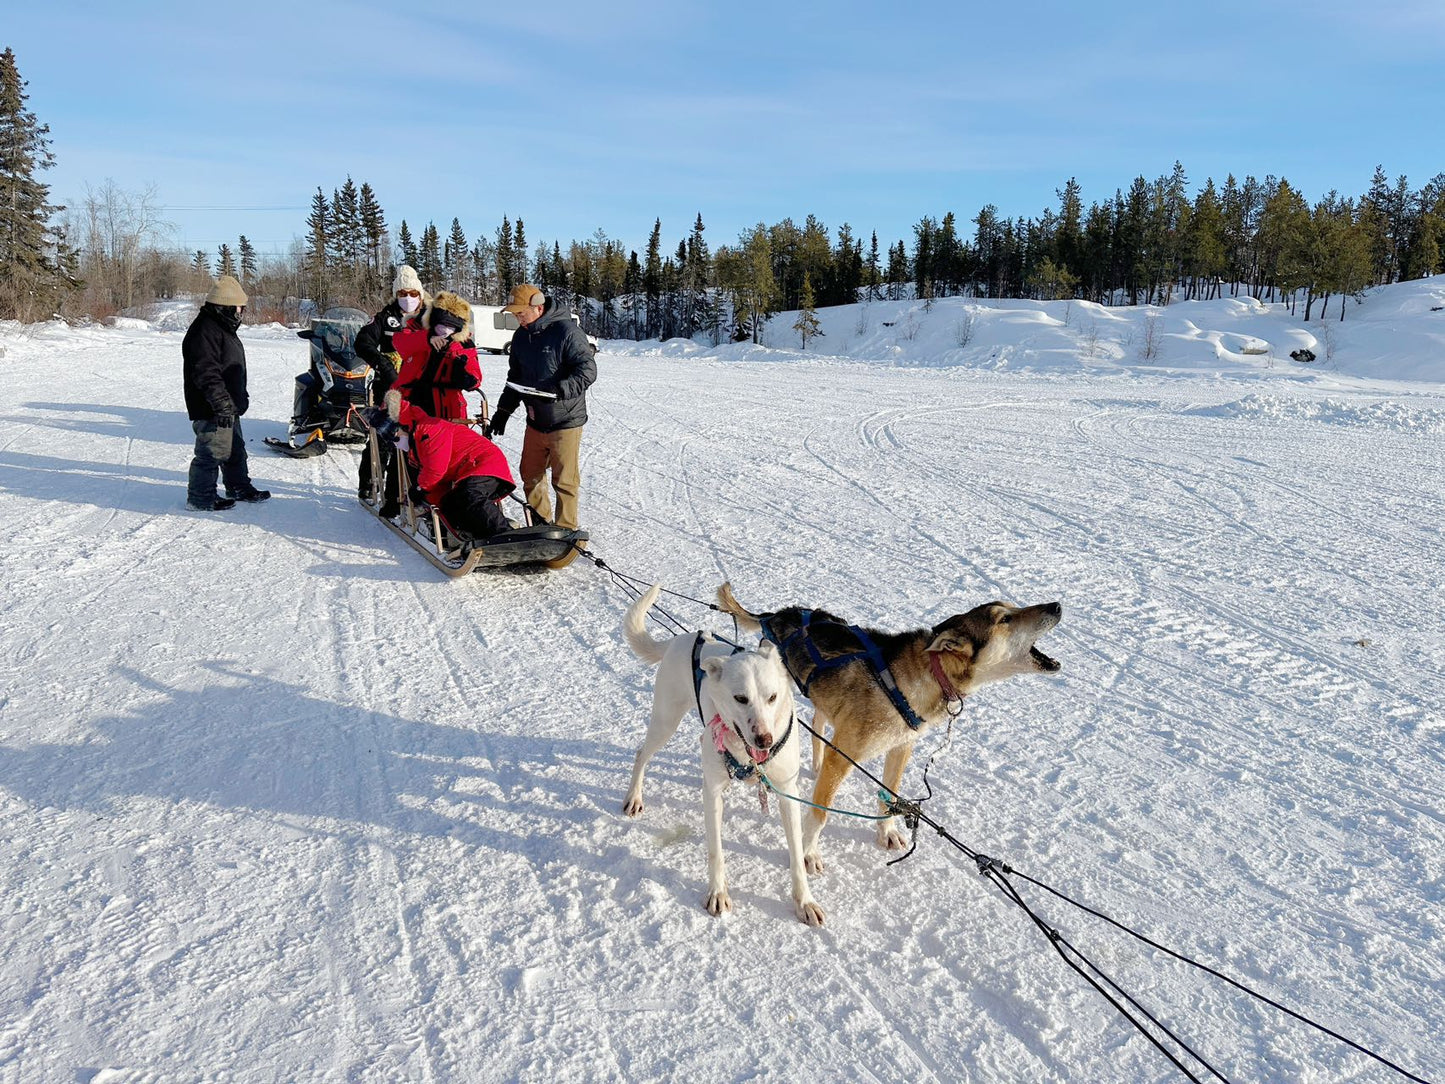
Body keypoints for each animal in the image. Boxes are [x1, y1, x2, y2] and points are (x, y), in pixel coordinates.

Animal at [618, 586, 826, 925]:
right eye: (740, 698)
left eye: (772, 697)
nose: (765, 739)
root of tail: (682, 639)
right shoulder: (714, 794)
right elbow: (715, 850)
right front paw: (717, 893)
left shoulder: (787, 792)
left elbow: (796, 855)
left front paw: (804, 901)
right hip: (665, 722)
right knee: (641, 754)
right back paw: (634, 796)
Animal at [713, 586, 1063, 872]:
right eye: (1005, 618)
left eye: (1014, 607)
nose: (1057, 605)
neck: (923, 675)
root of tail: (776, 615)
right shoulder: (844, 755)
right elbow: (820, 813)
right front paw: (809, 852)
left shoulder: (901, 747)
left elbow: (888, 795)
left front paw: (887, 832)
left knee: (818, 724)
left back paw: (816, 762)